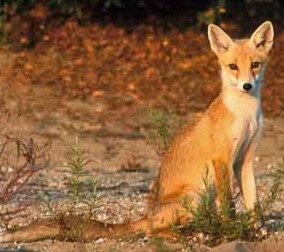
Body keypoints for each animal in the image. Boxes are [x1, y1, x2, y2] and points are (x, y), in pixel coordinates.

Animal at [1, 21, 274, 242]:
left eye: (255, 65)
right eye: (233, 66)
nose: (247, 86)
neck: (246, 114)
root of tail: (148, 215)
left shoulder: (244, 160)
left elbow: (254, 203)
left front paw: (258, 230)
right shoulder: (221, 159)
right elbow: (229, 206)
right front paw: (232, 231)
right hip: (194, 196)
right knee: (154, 232)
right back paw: (197, 234)